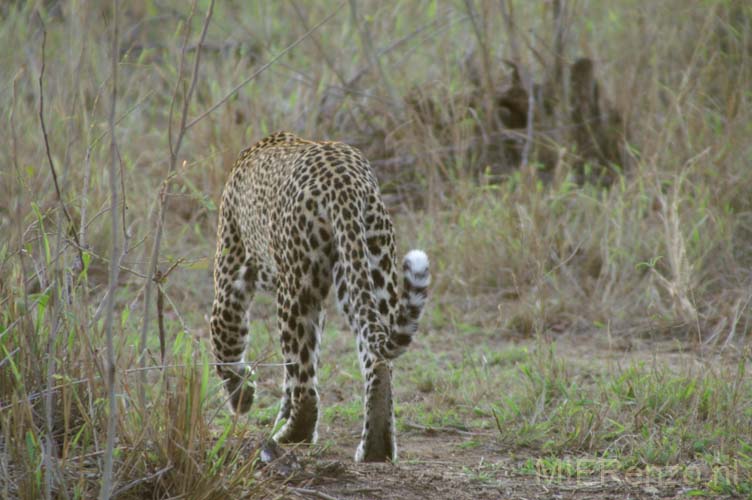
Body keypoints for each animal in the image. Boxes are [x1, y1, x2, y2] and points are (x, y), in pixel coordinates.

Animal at [210, 130, 428, 460]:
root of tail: (345, 181)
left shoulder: (230, 271)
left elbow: (225, 341)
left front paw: (242, 397)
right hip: (373, 268)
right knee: (378, 364)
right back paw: (375, 448)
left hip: (298, 289)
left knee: (304, 382)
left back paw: (289, 437)